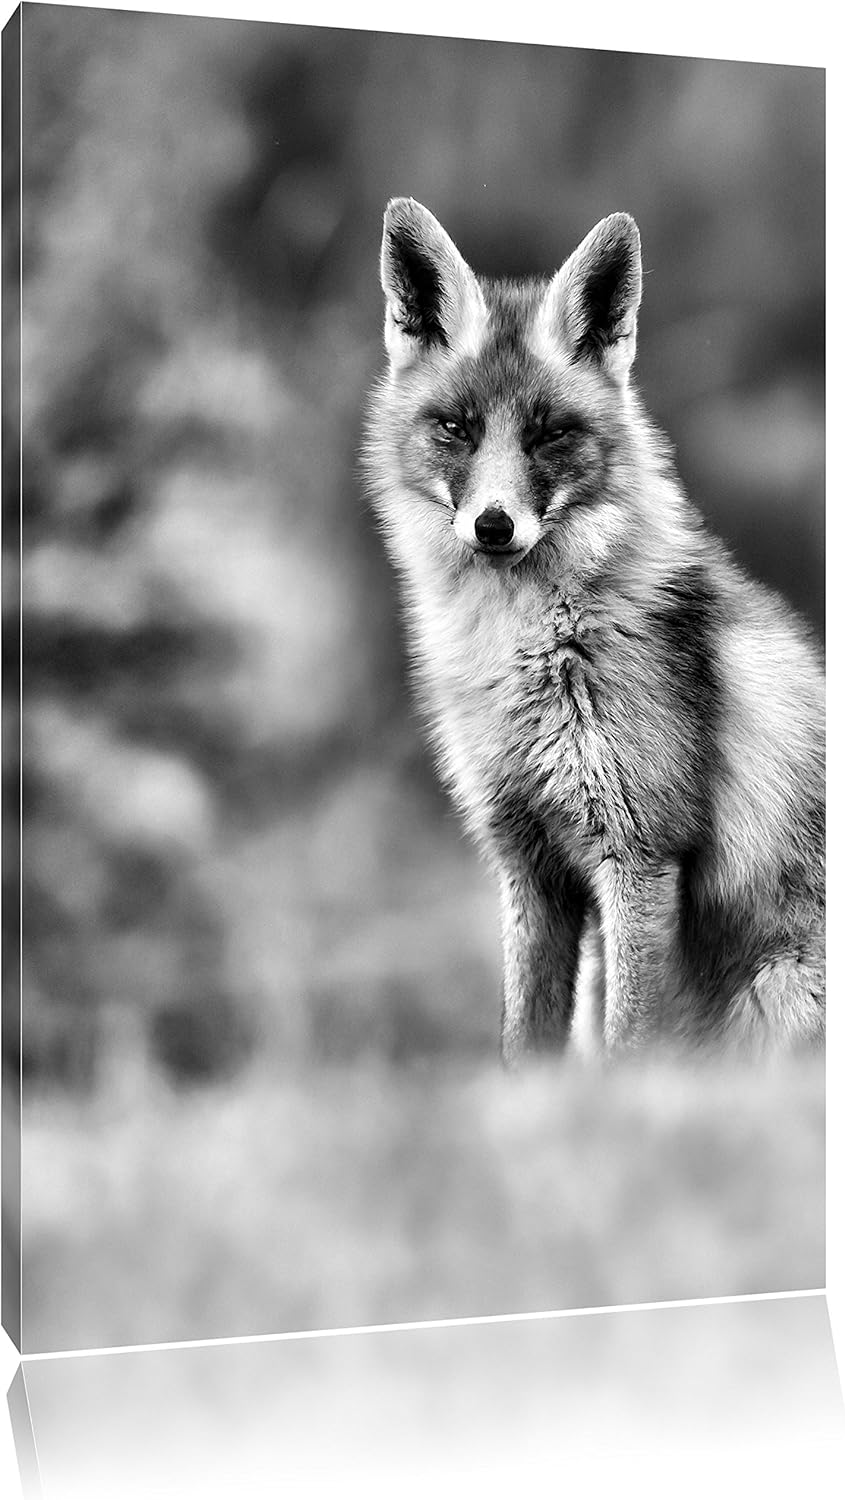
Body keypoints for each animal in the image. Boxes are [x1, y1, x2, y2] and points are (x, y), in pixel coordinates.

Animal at [363, 197, 825, 1063]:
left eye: (548, 433)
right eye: (457, 428)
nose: (494, 525)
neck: (525, 657)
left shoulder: (638, 856)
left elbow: (627, 1049)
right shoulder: (526, 860)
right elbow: (523, 1046)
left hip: (775, 997)